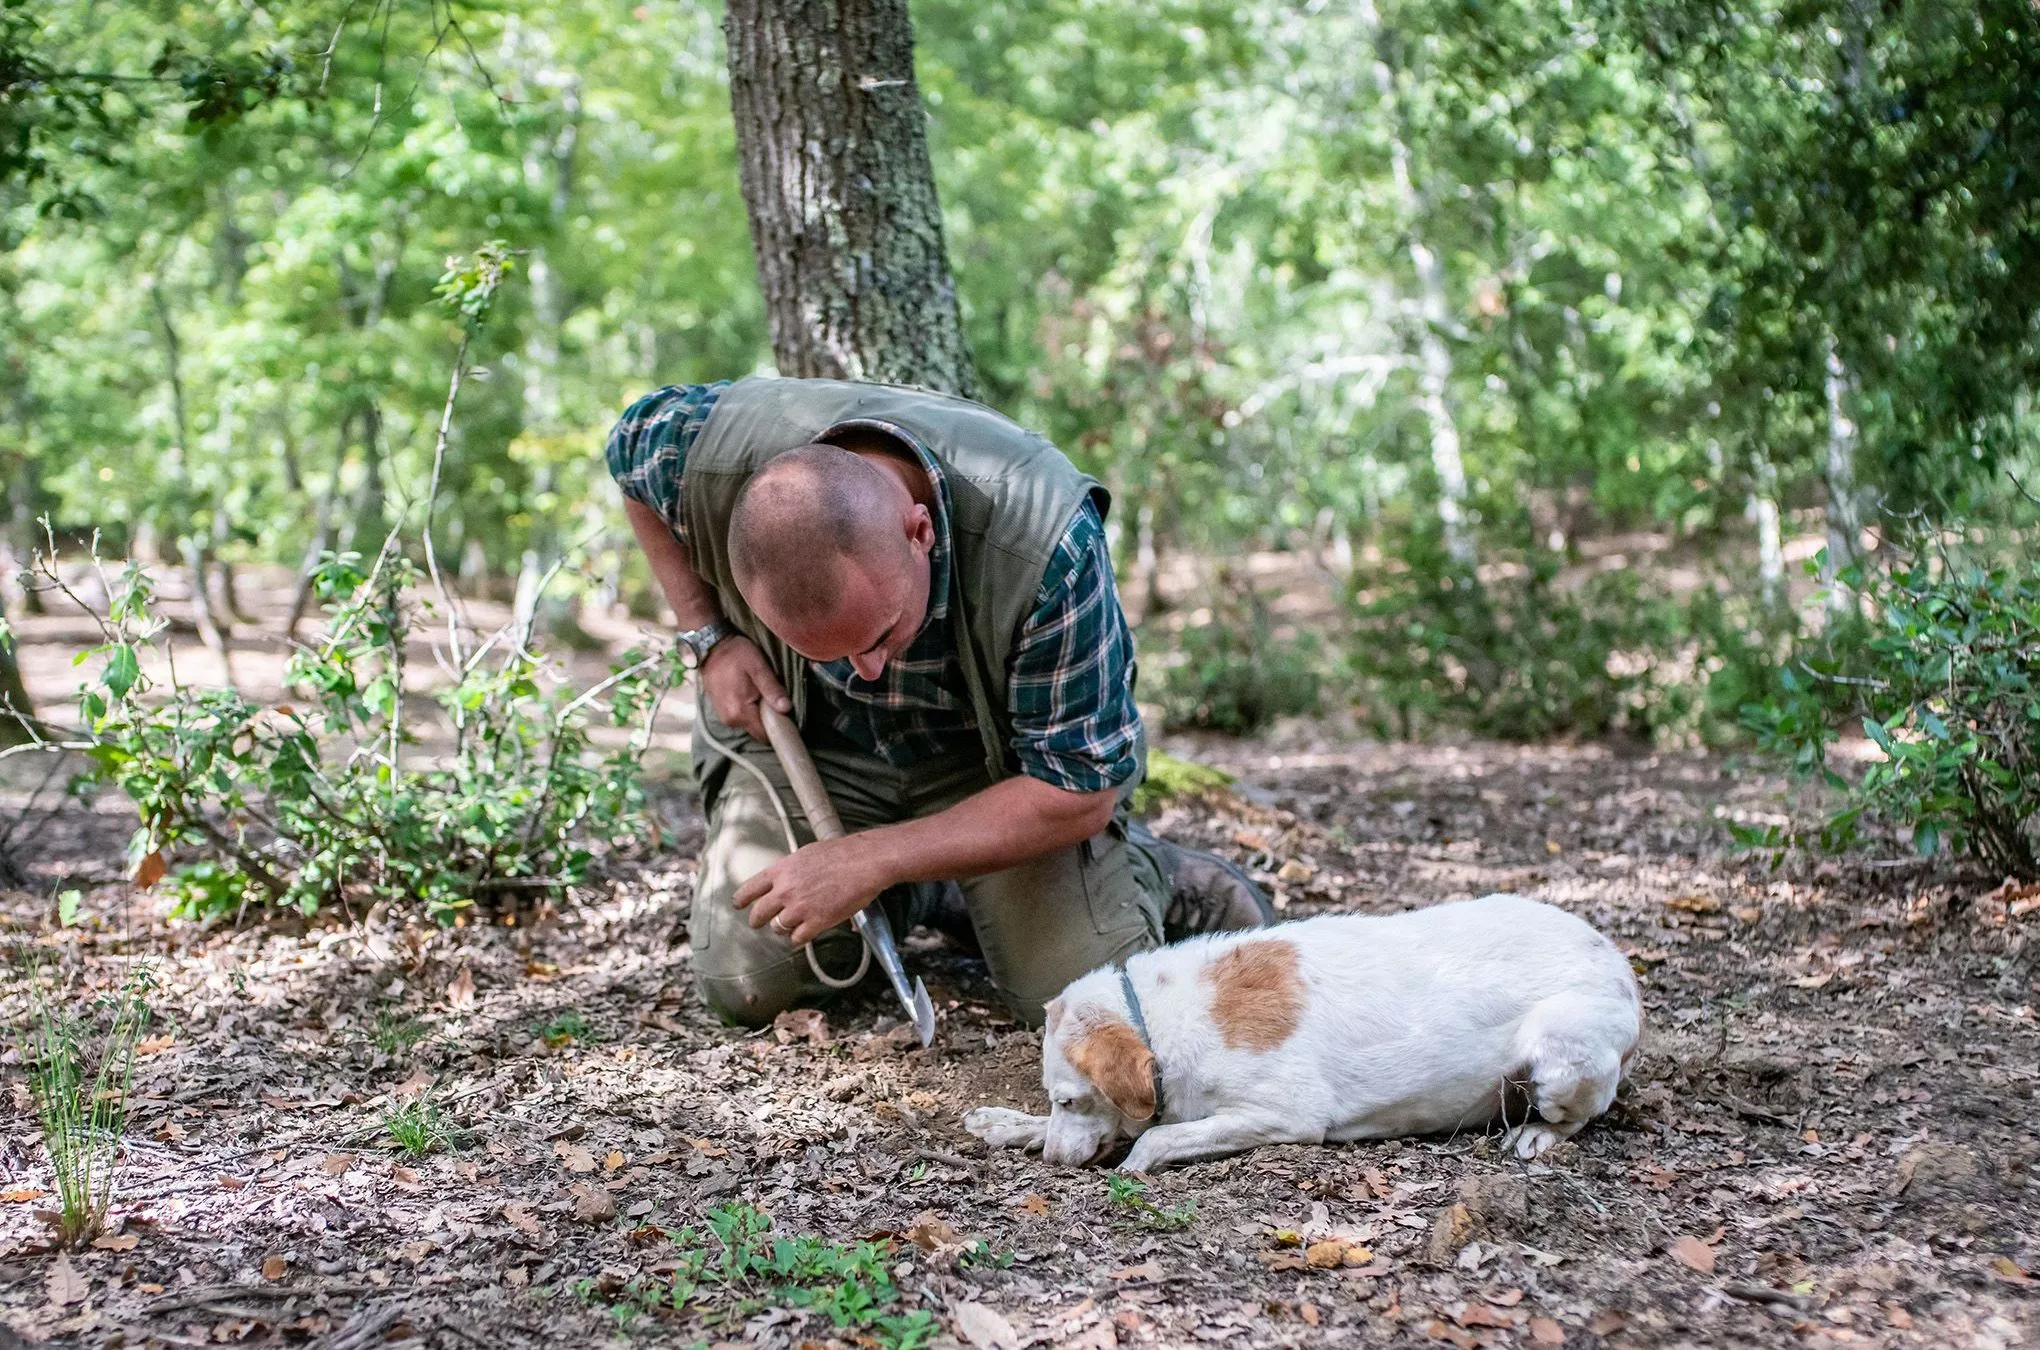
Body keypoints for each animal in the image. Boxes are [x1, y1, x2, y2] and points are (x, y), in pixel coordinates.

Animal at [962, 897, 1648, 1174]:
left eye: (1070, 1099)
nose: (1053, 1163)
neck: (1156, 1019)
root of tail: (1618, 961)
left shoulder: (1288, 1114)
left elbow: (1159, 1137)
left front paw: (1135, 1160)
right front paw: (1005, 1124)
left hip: (1557, 1055)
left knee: (1575, 1117)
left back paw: (1535, 1136)